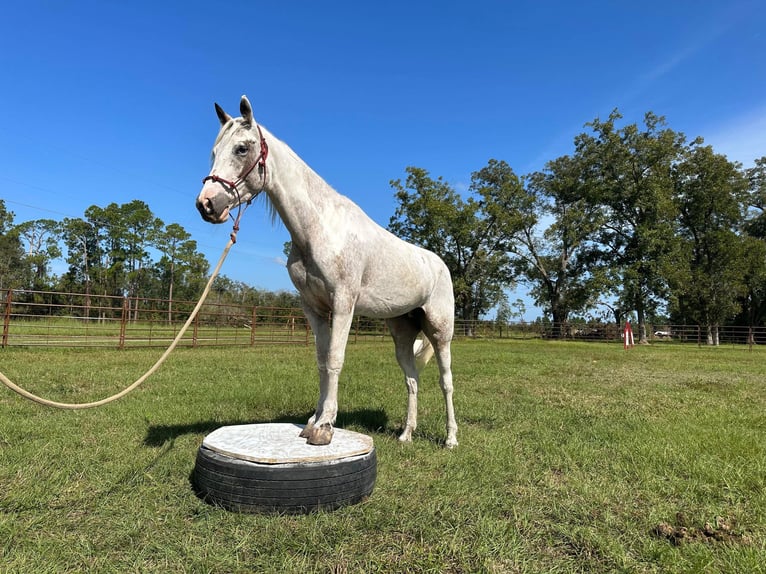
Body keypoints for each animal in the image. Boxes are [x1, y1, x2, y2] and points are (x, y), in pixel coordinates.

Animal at [198, 97, 460, 450]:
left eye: (241, 148)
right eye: (214, 152)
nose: (207, 205)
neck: (320, 229)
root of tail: (440, 265)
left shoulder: (343, 304)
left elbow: (335, 360)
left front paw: (324, 427)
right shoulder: (314, 309)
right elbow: (322, 362)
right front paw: (312, 421)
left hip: (440, 331)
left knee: (446, 381)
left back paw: (450, 439)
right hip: (402, 332)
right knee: (412, 380)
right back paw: (406, 434)